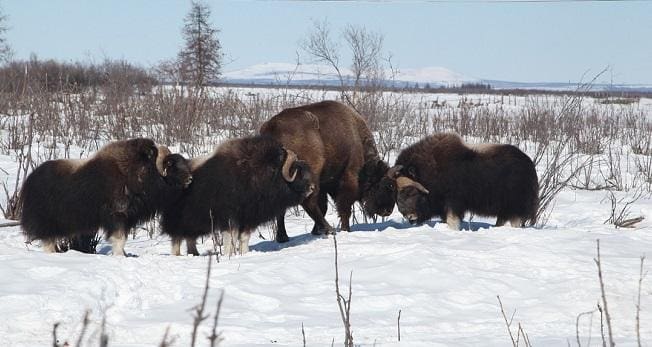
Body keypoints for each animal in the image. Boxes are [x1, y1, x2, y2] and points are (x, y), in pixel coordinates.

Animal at [20, 139, 192, 256]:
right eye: (171, 165)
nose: (190, 179)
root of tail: (28, 182)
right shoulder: (118, 213)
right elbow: (119, 238)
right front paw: (120, 255)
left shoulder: (127, 217)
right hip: (46, 221)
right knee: (47, 239)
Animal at [160, 135, 314, 256]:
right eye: (296, 169)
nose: (312, 188)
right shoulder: (229, 218)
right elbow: (231, 238)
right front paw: (229, 255)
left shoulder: (249, 218)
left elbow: (244, 238)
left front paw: (243, 254)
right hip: (178, 221)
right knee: (177, 239)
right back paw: (178, 255)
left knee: (189, 238)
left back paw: (195, 254)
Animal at [258, 100, 392, 242]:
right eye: (381, 184)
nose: (388, 210)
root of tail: (273, 127)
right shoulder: (348, 178)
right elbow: (344, 207)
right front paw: (345, 229)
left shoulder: (324, 185)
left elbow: (324, 207)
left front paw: (316, 231)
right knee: (308, 202)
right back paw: (329, 230)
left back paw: (283, 237)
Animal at [390, 135, 536, 230]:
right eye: (396, 194)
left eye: (410, 192)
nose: (410, 217)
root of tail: (529, 163)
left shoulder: (453, 202)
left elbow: (452, 220)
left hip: (515, 205)